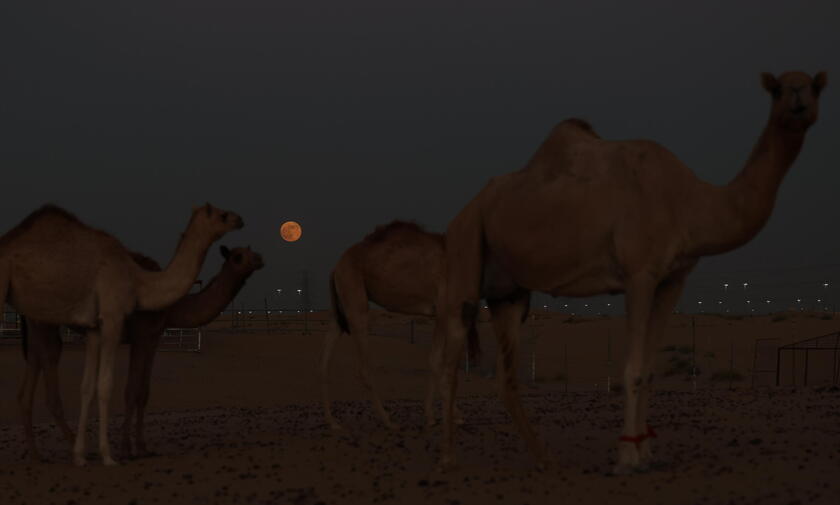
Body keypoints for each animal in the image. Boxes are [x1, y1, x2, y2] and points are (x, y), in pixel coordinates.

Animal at [0, 203, 243, 462]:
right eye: (223, 215)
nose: (240, 220)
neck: (143, 284)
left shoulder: (142, 335)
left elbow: (130, 389)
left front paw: (135, 448)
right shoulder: (133, 329)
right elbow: (124, 388)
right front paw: (122, 450)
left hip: (36, 322)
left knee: (30, 379)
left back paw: (39, 453)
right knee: (51, 367)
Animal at [324, 220, 480, 430]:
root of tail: (336, 267)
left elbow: (437, 360)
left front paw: (432, 415)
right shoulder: (444, 310)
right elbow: (437, 361)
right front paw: (451, 415)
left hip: (340, 306)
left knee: (325, 358)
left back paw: (333, 422)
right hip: (354, 293)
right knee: (363, 366)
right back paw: (388, 421)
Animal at [436, 72, 832, 472]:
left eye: (815, 86)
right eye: (777, 89)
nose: (798, 101)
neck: (689, 201)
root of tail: (463, 213)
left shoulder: (673, 279)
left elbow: (650, 368)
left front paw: (647, 452)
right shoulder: (639, 273)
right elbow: (632, 368)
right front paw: (627, 456)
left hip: (509, 293)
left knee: (505, 376)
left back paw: (545, 458)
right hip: (466, 248)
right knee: (451, 358)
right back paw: (448, 457)